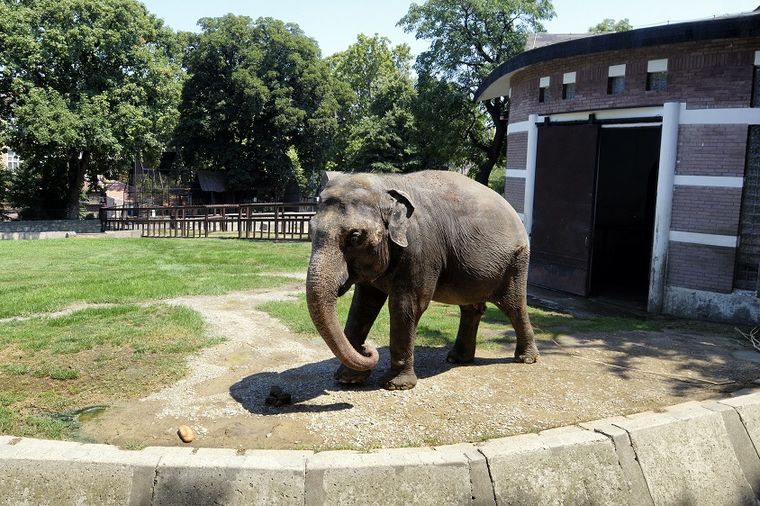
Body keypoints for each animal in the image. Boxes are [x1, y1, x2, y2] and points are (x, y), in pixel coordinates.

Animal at [306, 171, 536, 392]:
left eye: (355, 237)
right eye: (311, 230)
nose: (366, 349)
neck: (385, 183)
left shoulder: (421, 251)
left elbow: (406, 305)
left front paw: (396, 386)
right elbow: (363, 306)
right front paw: (348, 379)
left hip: (516, 262)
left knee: (514, 306)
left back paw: (526, 359)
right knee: (471, 308)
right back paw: (458, 359)